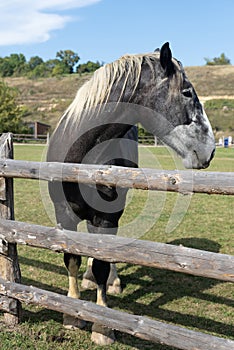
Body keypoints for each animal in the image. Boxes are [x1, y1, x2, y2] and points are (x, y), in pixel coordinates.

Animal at [47, 41, 216, 344]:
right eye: (186, 92)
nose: (210, 149)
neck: (81, 155)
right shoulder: (63, 215)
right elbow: (71, 259)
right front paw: (71, 312)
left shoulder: (106, 216)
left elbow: (102, 263)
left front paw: (102, 326)